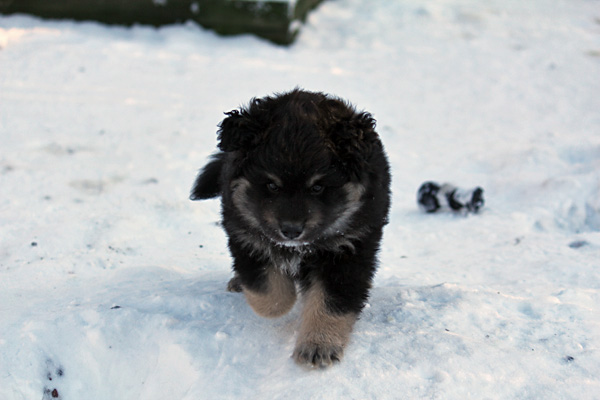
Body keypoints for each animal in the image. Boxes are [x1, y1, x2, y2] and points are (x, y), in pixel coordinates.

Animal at [190, 89, 391, 368]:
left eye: (317, 187)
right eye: (272, 185)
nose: (291, 231)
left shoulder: (350, 251)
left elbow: (330, 303)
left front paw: (318, 346)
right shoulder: (246, 237)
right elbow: (270, 295)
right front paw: (284, 301)